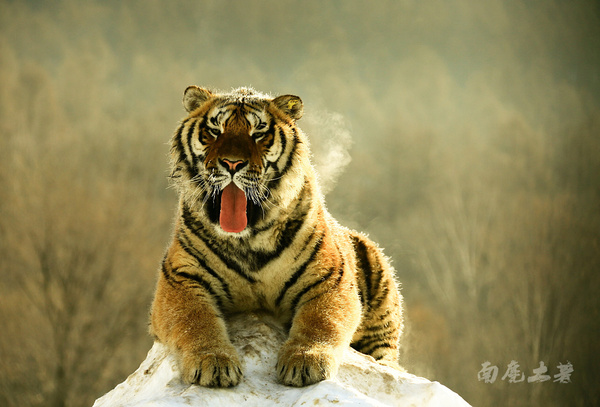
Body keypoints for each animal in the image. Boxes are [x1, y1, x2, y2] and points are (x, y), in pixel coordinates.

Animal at [150, 86, 404, 388]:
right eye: (214, 131)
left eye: (258, 133)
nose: (232, 163)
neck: (247, 239)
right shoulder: (180, 279)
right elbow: (194, 320)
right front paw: (213, 362)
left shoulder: (330, 279)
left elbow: (322, 319)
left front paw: (305, 362)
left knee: (386, 352)